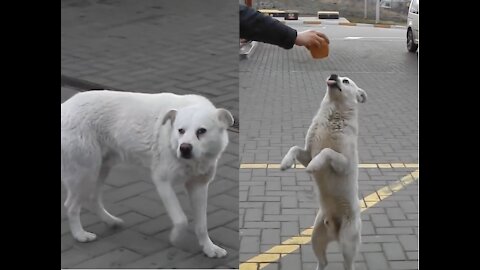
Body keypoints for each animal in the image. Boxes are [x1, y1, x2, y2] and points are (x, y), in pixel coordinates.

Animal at [61, 90, 233, 258]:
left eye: (201, 131)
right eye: (181, 130)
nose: (184, 148)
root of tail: (65, 107)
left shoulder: (199, 185)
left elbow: (202, 225)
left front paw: (209, 249)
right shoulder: (162, 181)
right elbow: (181, 220)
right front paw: (175, 237)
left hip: (99, 170)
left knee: (92, 198)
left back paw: (110, 221)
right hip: (85, 174)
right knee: (71, 206)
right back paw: (80, 235)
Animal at [280, 74, 366, 270]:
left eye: (346, 80)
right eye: (336, 76)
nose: (333, 75)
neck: (334, 114)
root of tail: (334, 231)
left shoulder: (345, 163)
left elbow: (326, 152)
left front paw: (314, 166)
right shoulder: (307, 152)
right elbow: (294, 148)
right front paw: (285, 163)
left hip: (348, 243)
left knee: (348, 264)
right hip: (316, 237)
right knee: (323, 261)